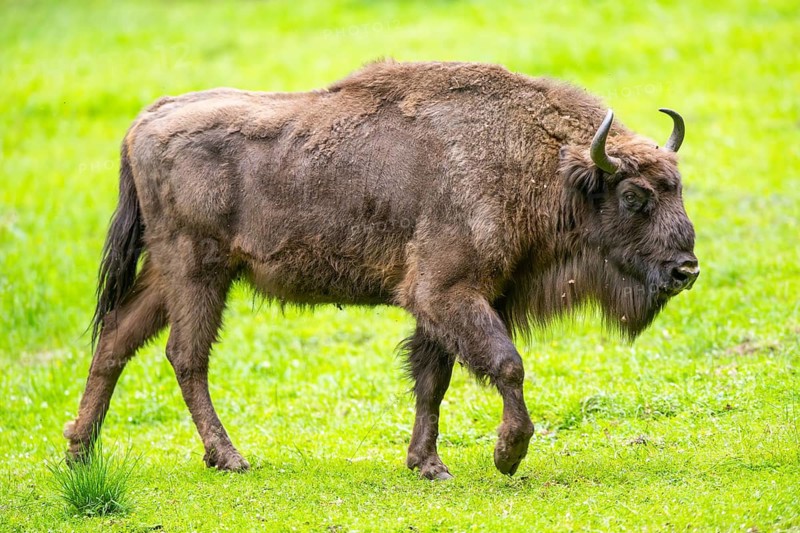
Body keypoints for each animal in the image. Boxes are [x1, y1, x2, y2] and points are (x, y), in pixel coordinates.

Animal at [65, 60, 698, 479]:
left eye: (678, 188)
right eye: (635, 196)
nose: (686, 270)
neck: (541, 163)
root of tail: (146, 121)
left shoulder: (443, 306)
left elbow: (433, 380)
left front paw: (427, 464)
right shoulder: (448, 292)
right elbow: (505, 364)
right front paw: (507, 454)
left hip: (168, 275)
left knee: (116, 340)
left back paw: (79, 450)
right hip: (199, 271)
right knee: (185, 356)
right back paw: (230, 458)